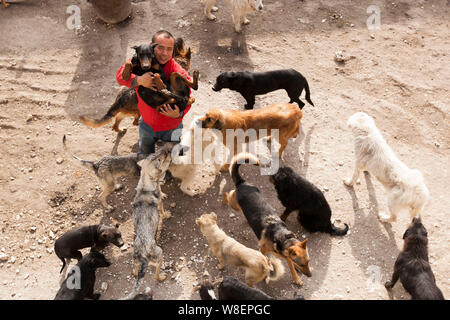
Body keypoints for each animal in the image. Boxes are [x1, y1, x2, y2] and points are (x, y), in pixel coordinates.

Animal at [227, 152, 312, 284]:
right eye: (302, 264)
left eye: (308, 262)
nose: (310, 276)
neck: (282, 237)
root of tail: (243, 183)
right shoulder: (262, 249)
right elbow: (266, 260)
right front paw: (267, 275)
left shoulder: (286, 255)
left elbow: (291, 266)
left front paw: (296, 278)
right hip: (234, 204)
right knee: (230, 194)